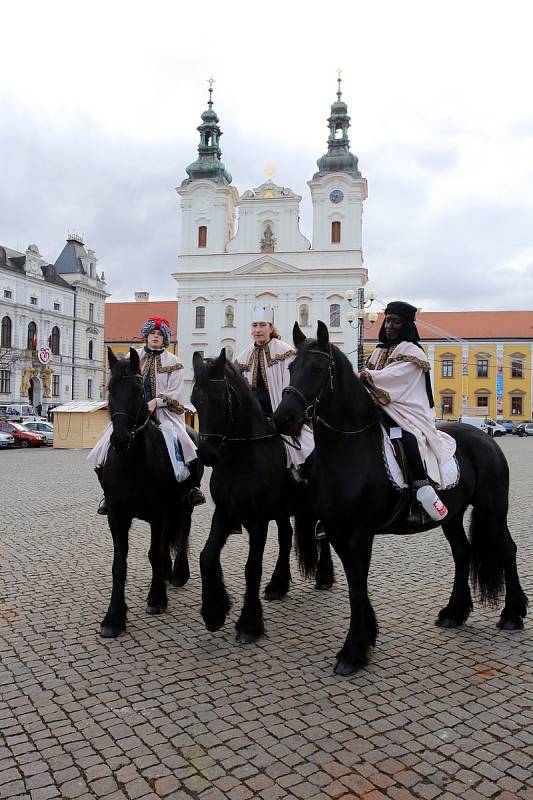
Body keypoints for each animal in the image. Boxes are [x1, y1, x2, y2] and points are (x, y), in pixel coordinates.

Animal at [98, 348, 197, 636]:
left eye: (137, 390)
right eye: (110, 388)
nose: (119, 439)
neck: (133, 463)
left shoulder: (157, 513)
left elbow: (154, 552)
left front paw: (156, 599)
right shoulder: (117, 516)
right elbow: (119, 564)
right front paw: (114, 618)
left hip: (184, 505)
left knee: (182, 532)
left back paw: (178, 573)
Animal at [191, 350, 332, 644]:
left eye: (219, 399)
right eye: (195, 401)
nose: (207, 453)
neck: (242, 456)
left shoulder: (257, 522)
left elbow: (252, 568)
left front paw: (249, 624)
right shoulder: (224, 513)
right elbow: (206, 556)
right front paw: (213, 612)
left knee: (322, 536)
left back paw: (324, 576)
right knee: (287, 538)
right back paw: (278, 584)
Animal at [274, 322, 528, 672]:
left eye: (316, 369)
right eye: (290, 368)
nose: (283, 418)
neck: (349, 449)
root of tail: (487, 438)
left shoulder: (360, 532)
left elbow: (357, 587)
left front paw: (352, 652)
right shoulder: (337, 531)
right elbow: (355, 583)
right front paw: (368, 636)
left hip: (492, 508)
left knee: (507, 549)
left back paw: (512, 615)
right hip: (451, 515)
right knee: (463, 553)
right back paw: (454, 612)